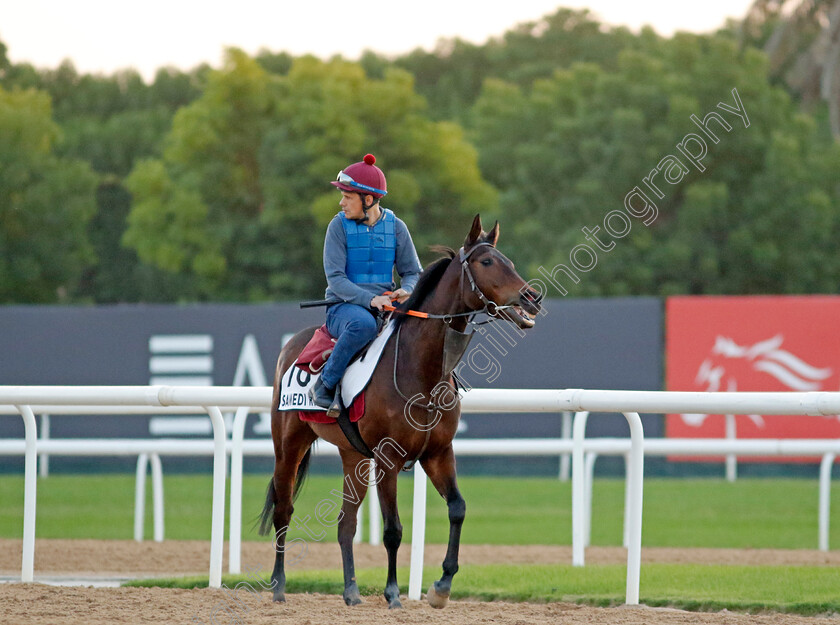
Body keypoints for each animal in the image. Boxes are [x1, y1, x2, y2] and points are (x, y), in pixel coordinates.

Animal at [260, 213, 540, 604]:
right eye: (487, 262)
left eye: (509, 262)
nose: (533, 297)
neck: (419, 370)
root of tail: (293, 345)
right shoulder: (387, 459)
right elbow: (393, 529)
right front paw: (393, 592)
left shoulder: (438, 453)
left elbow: (458, 509)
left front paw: (442, 585)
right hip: (289, 445)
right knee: (284, 510)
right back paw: (279, 586)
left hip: (353, 456)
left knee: (346, 522)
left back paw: (351, 590)